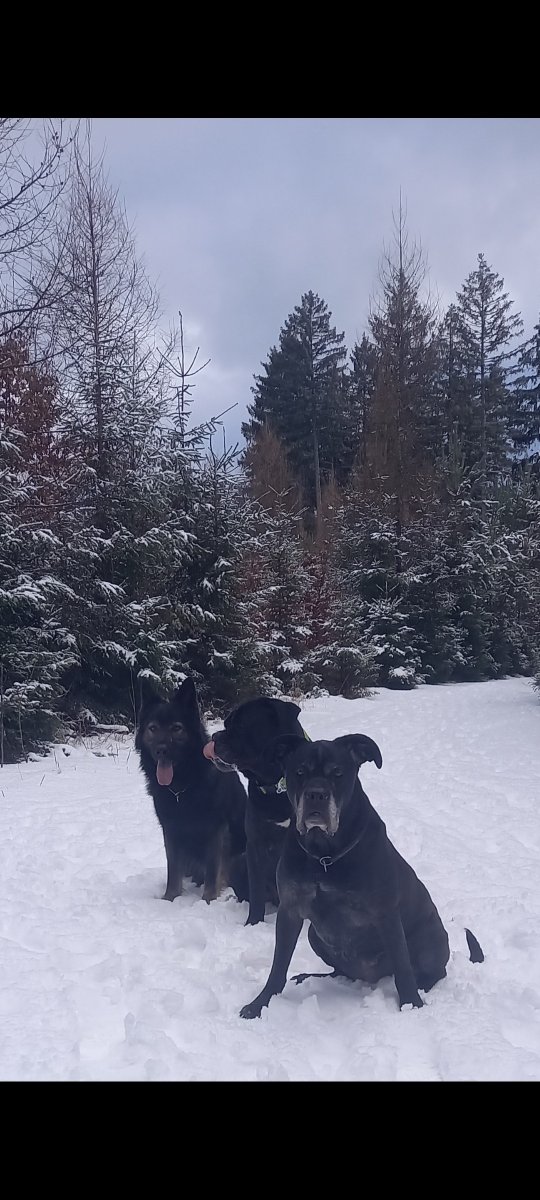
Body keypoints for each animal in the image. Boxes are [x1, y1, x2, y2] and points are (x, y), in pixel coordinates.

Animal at [136, 677, 247, 904]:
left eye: (176, 728)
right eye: (153, 728)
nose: (161, 750)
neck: (183, 786)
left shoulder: (216, 831)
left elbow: (213, 871)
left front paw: (208, 901)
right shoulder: (170, 829)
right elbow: (173, 870)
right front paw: (170, 898)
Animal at [203, 697, 309, 925]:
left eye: (242, 725)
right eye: (226, 724)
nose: (215, 737)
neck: (277, 787)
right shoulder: (255, 845)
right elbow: (257, 890)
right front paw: (253, 923)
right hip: (238, 862)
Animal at [240, 733, 484, 1018]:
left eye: (337, 773)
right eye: (299, 772)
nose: (316, 794)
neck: (324, 855)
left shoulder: (386, 914)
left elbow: (402, 966)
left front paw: (412, 1005)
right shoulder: (290, 909)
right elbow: (278, 965)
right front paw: (260, 1004)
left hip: (429, 939)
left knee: (428, 971)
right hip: (314, 935)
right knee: (339, 971)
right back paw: (309, 977)